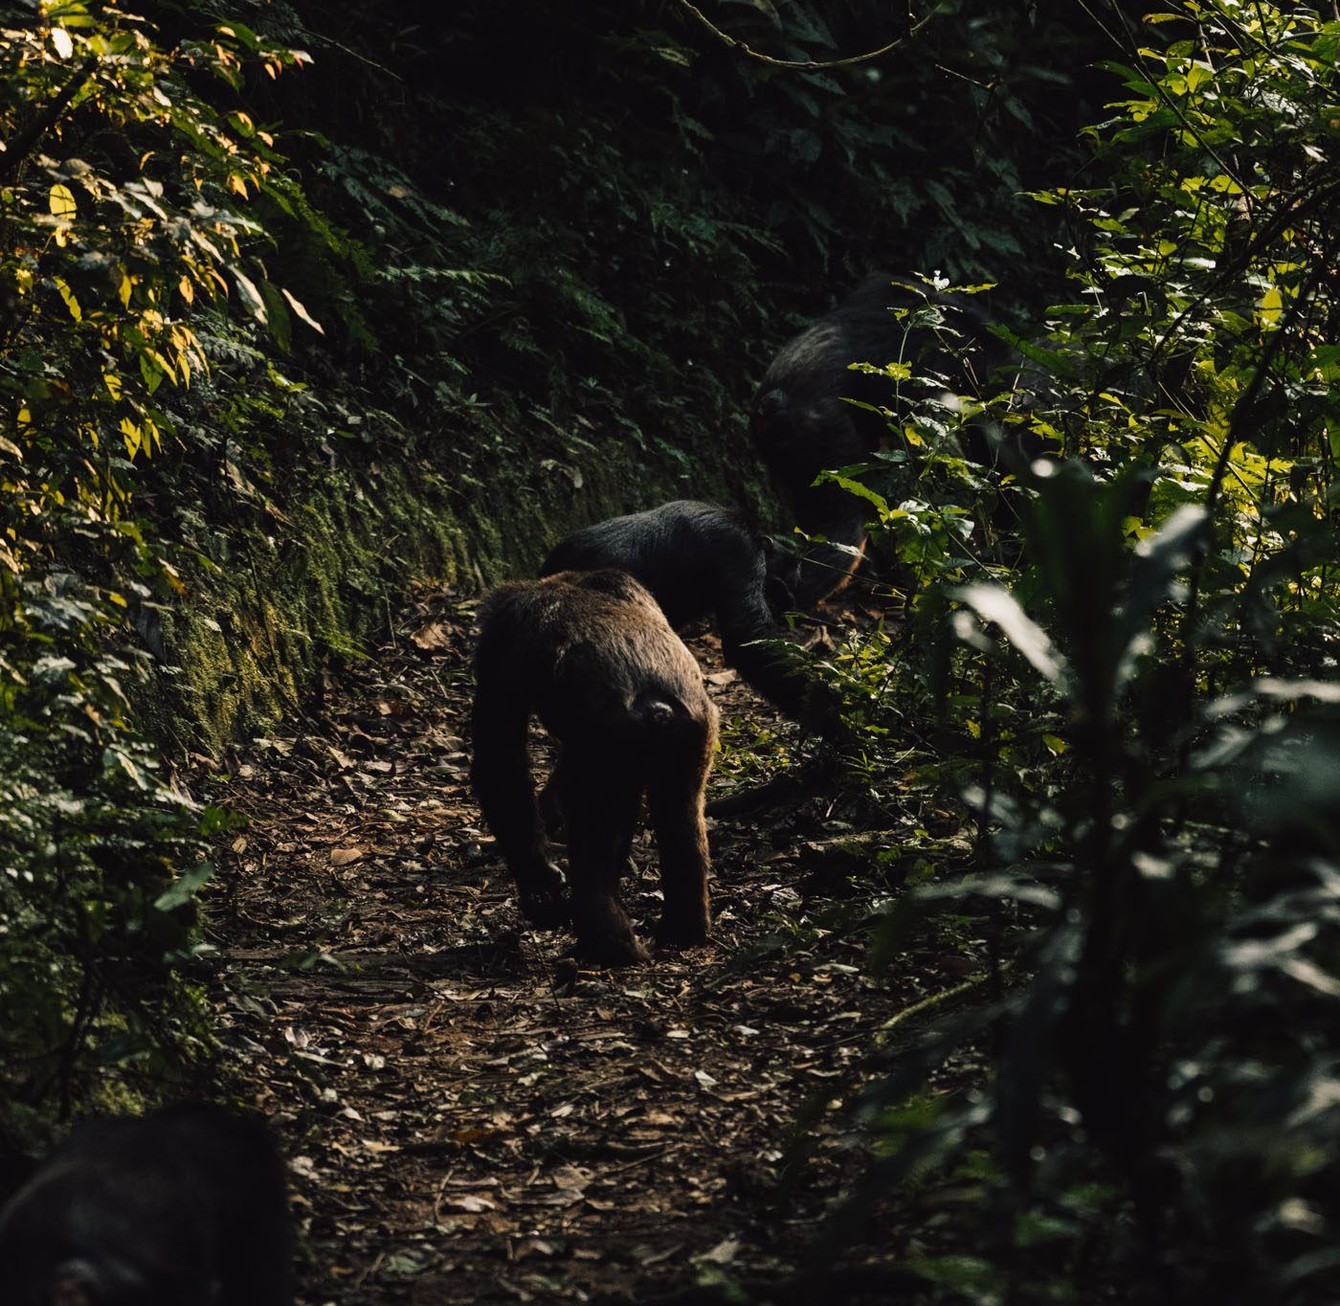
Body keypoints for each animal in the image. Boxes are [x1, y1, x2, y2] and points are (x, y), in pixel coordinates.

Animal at [471, 568, 719, 966]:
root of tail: (656, 706)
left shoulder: (502, 635)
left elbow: (500, 760)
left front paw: (541, 888)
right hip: (697, 730)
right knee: (680, 813)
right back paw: (683, 931)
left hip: (611, 746)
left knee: (593, 840)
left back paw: (607, 946)